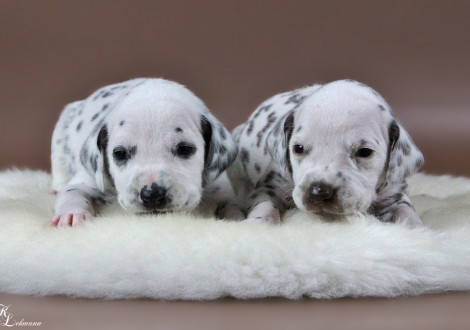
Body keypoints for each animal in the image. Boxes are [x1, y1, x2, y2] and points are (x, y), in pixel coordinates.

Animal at [50, 77, 239, 227]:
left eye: (185, 149)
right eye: (119, 153)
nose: (152, 194)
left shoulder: (222, 191)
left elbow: (232, 206)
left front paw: (234, 218)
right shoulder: (89, 179)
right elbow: (72, 193)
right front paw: (71, 215)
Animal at [228, 79, 426, 228]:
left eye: (364, 152)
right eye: (298, 148)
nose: (319, 192)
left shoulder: (394, 195)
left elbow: (407, 212)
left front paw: (418, 230)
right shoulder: (270, 186)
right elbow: (265, 205)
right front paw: (257, 223)